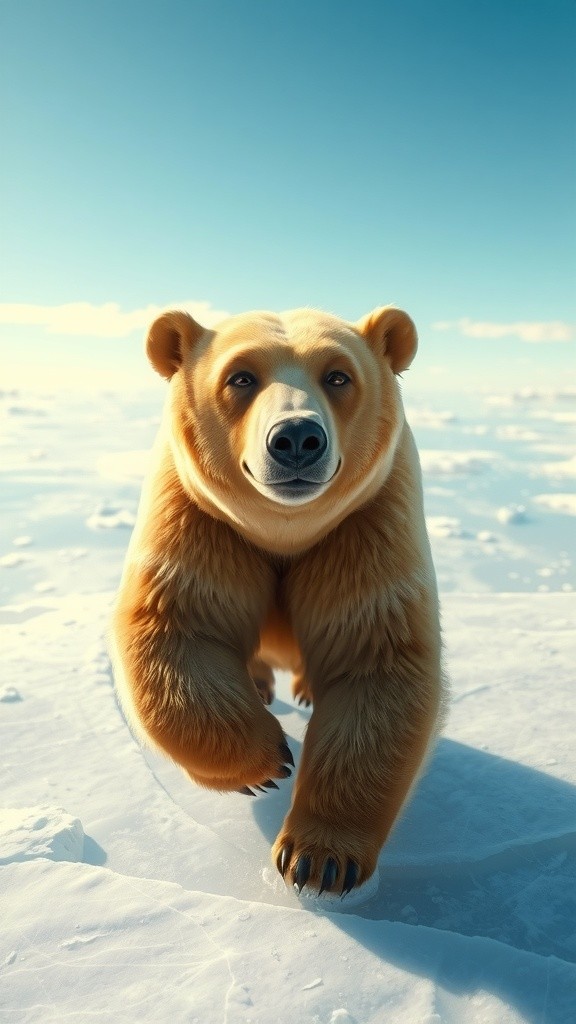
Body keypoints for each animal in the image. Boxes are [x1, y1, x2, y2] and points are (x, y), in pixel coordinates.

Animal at [111, 304, 444, 896]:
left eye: (338, 375)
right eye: (241, 376)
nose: (295, 437)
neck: (285, 533)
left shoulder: (367, 527)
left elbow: (376, 661)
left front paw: (319, 860)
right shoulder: (200, 519)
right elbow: (176, 630)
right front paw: (266, 763)